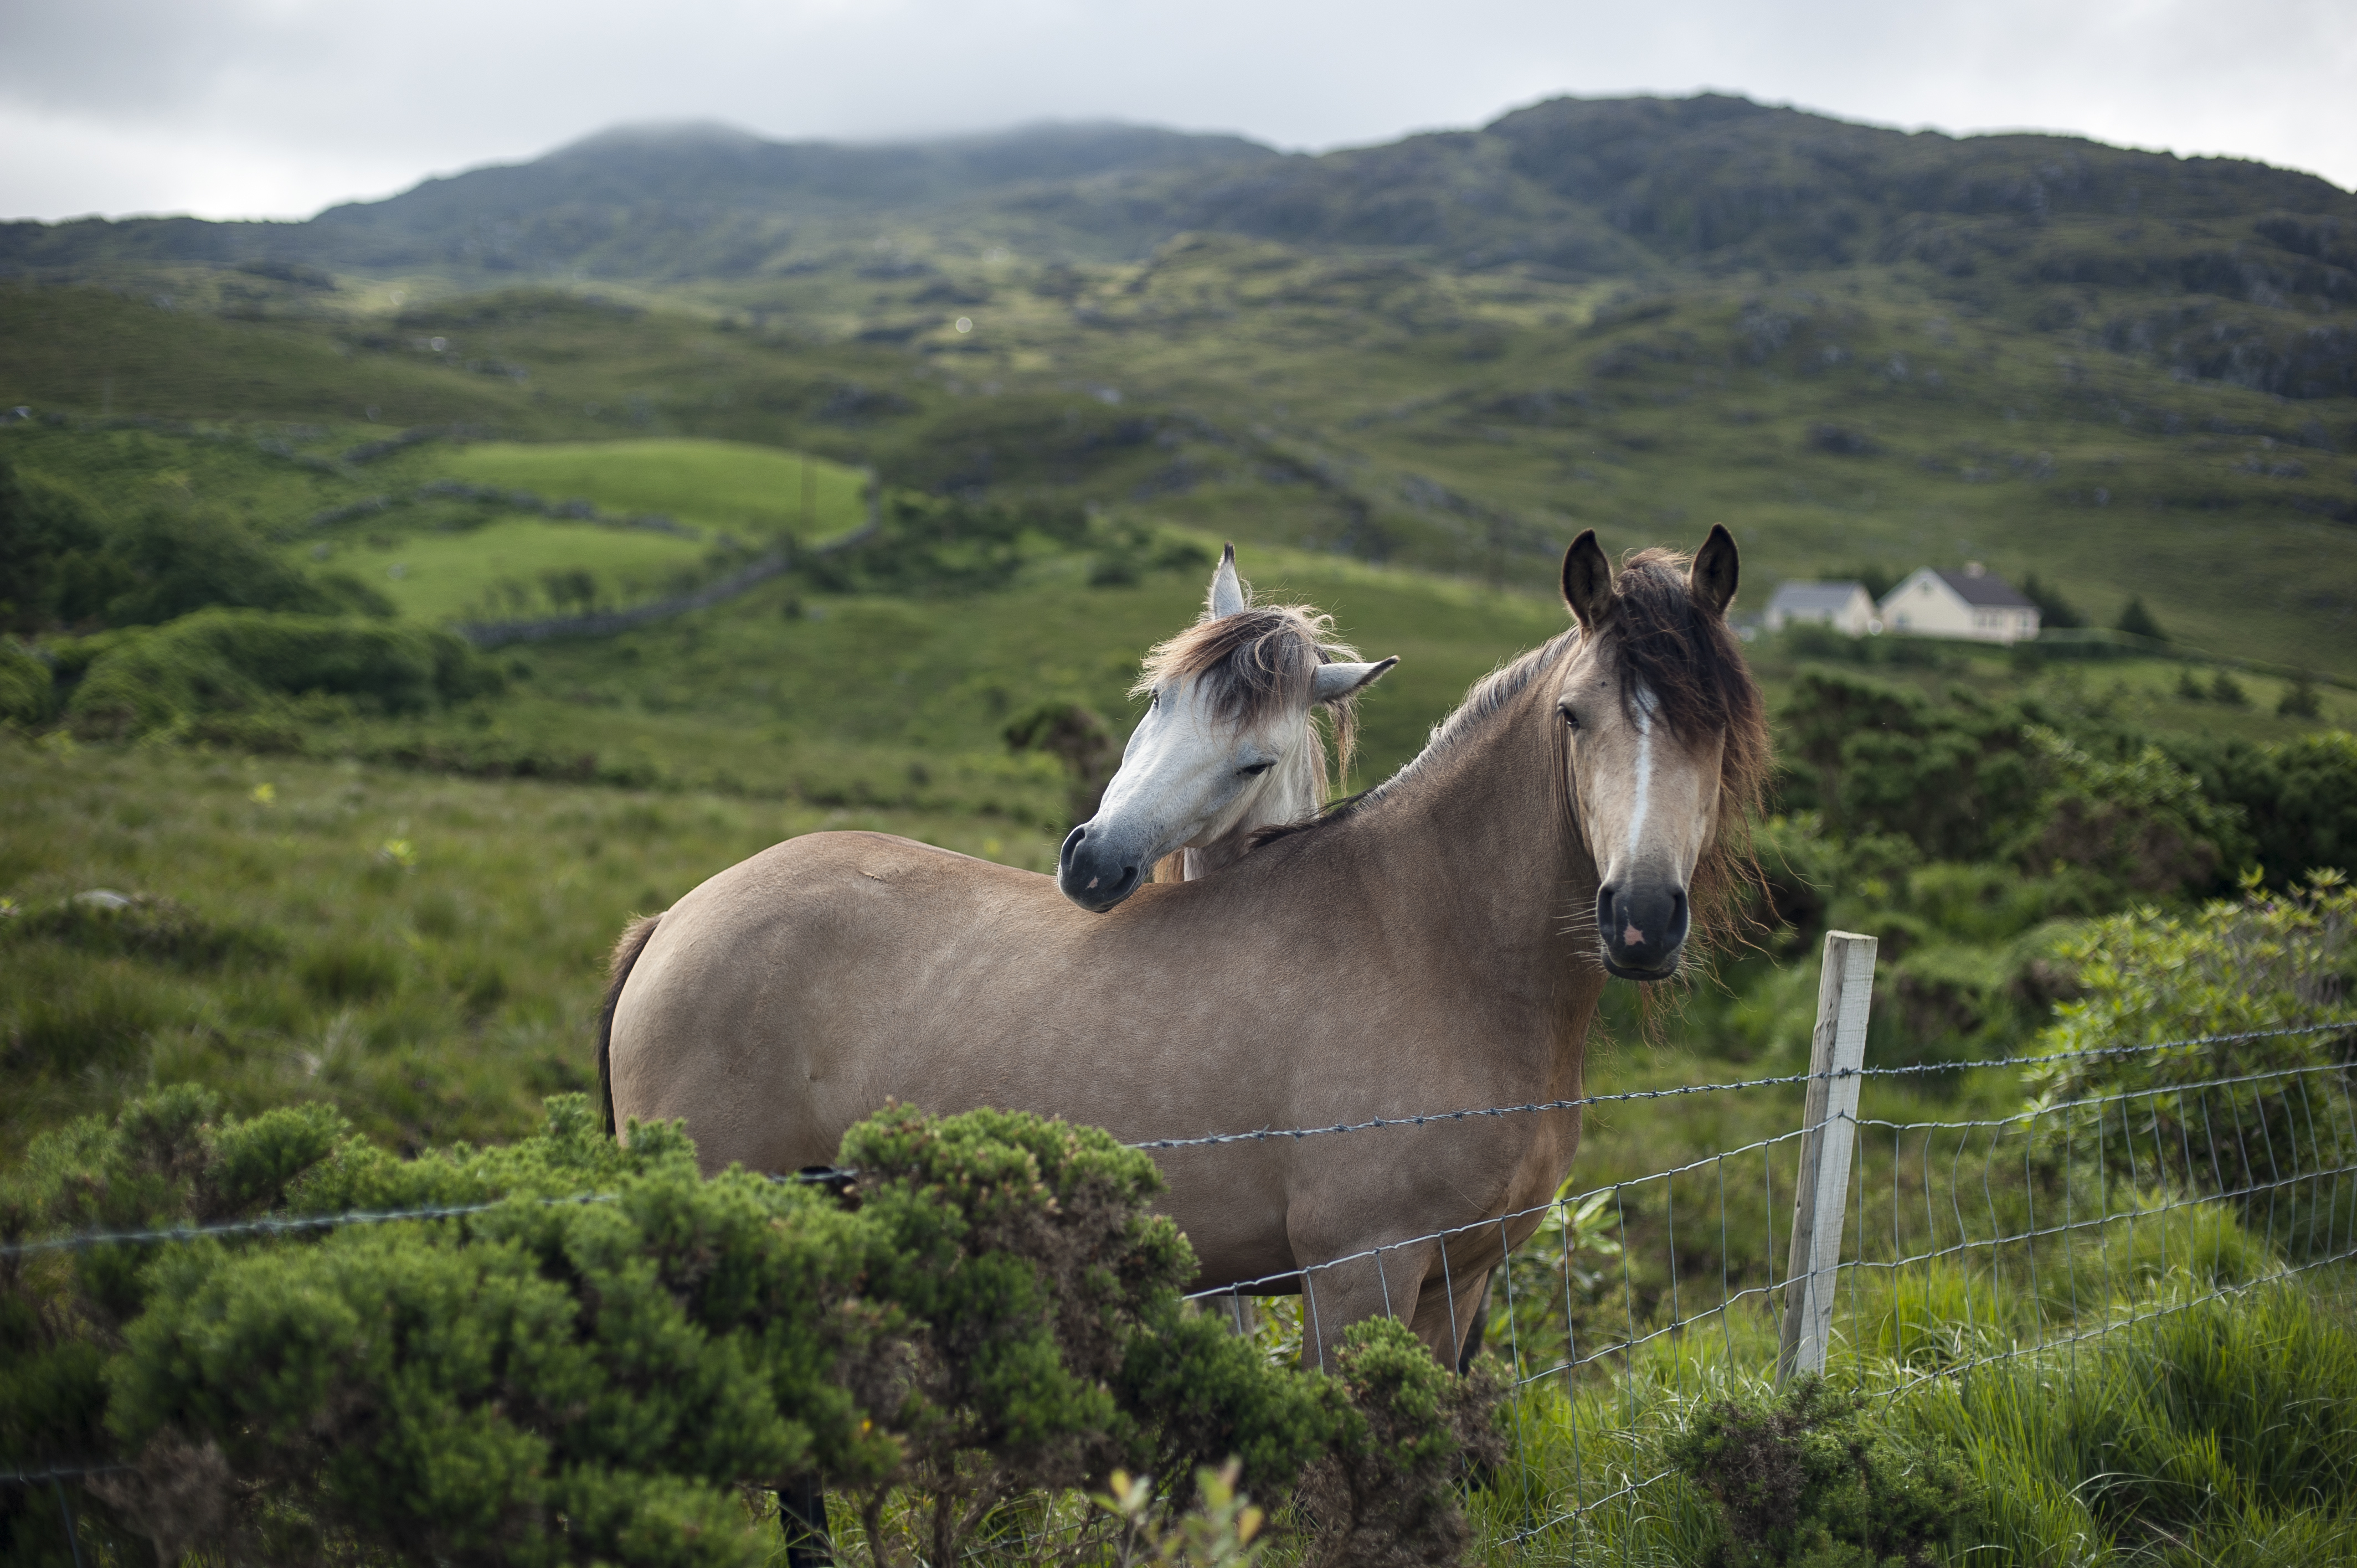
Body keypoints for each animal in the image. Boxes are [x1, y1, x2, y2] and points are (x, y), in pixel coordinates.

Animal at [601, 527, 1768, 1371]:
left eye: (1715, 724)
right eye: (1574, 715)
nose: (1641, 917)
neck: (1436, 946)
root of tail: (673, 920)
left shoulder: (1461, 1279)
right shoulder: (1359, 1275)